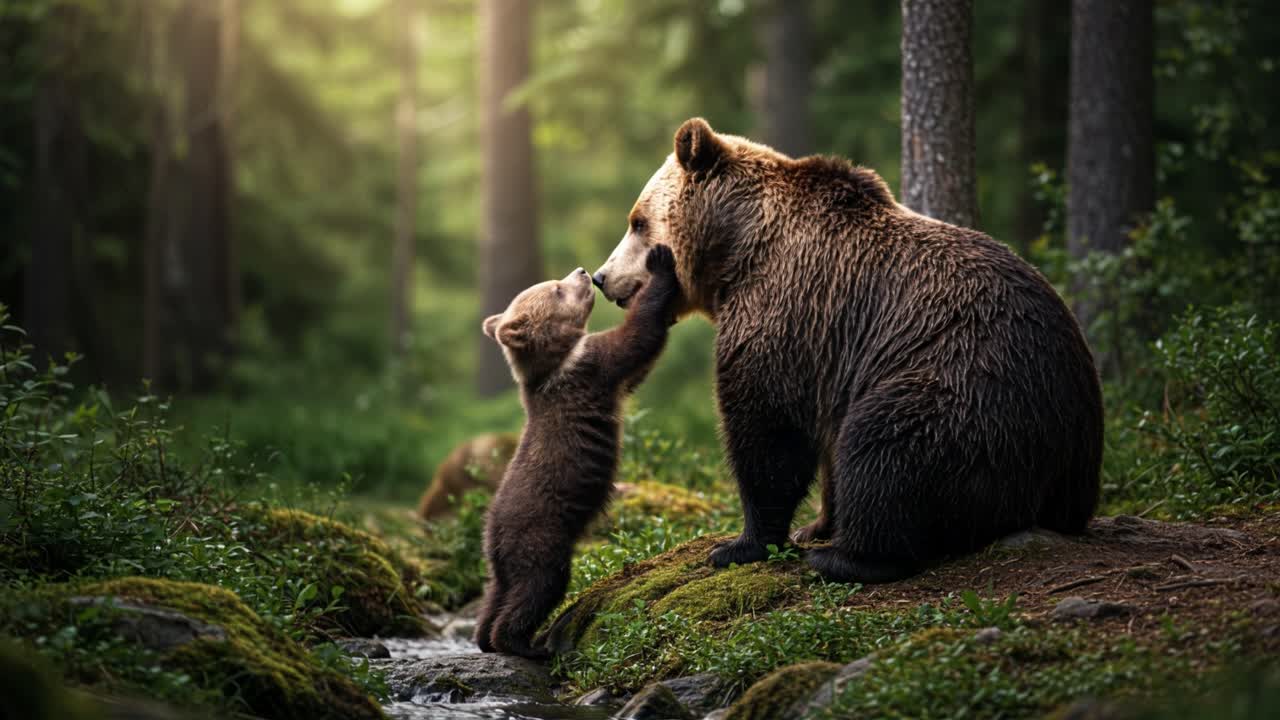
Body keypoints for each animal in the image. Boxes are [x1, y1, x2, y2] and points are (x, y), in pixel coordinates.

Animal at [474, 246, 680, 658]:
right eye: (555, 288)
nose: (584, 272)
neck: (558, 357)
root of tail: (496, 537)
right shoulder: (590, 366)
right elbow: (637, 338)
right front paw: (660, 263)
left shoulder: (595, 373)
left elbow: (639, 364)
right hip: (541, 535)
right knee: (539, 586)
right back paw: (525, 644)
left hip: (499, 557)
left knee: (497, 593)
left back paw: (485, 639)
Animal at [591, 118, 1103, 583]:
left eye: (637, 221)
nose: (601, 277)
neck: (737, 250)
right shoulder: (830, 356)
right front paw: (816, 524)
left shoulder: (788, 310)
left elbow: (769, 429)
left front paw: (741, 544)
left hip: (969, 391)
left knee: (886, 445)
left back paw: (847, 558)